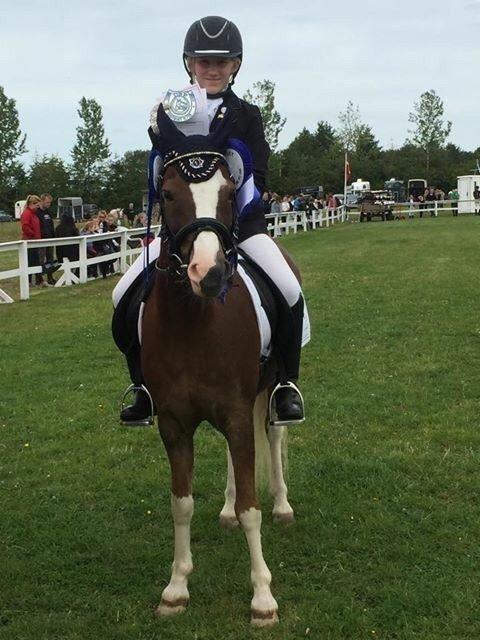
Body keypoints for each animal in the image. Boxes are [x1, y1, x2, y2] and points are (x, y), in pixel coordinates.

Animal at [140, 108, 298, 626]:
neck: (195, 322)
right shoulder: (174, 423)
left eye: (231, 193)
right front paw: (175, 588)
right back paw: (226, 511)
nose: (209, 275)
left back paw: (283, 504)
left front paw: (263, 598)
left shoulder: (235, 411)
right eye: (168, 194)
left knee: (274, 436)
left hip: (270, 390)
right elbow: (181, 504)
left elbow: (253, 506)